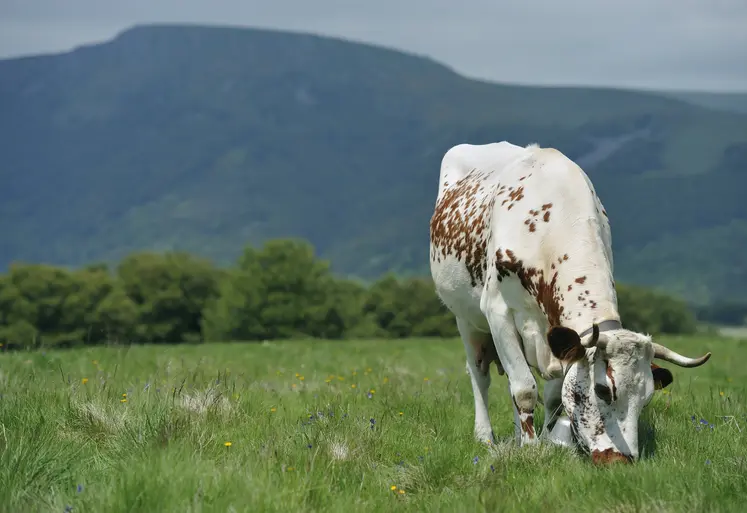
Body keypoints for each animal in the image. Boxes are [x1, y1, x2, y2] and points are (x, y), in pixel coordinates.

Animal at [428, 141, 711, 464]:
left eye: (647, 398)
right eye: (603, 390)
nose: (622, 461)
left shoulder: (558, 336)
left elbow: (551, 396)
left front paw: (545, 442)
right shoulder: (498, 313)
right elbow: (524, 389)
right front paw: (531, 451)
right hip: (467, 320)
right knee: (480, 375)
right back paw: (485, 437)